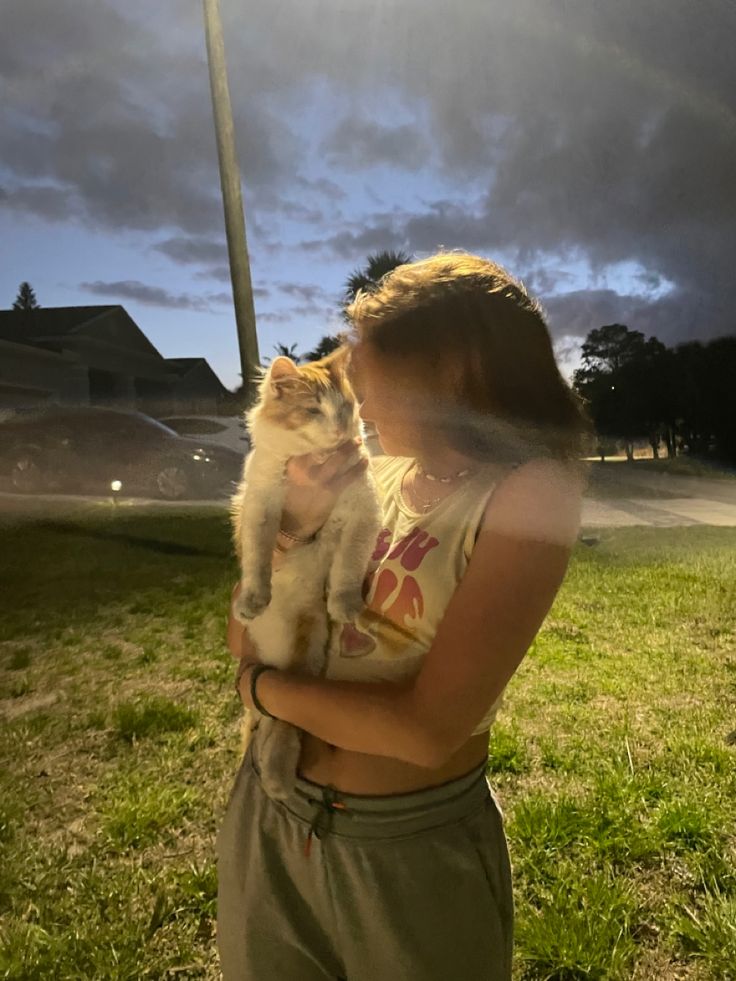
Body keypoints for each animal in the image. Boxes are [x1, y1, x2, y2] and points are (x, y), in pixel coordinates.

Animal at [229, 348, 380, 800]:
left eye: (344, 407)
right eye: (314, 410)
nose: (339, 426)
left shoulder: (362, 516)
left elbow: (348, 567)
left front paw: (345, 606)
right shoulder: (259, 506)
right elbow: (259, 558)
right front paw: (253, 599)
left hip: (304, 658)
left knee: (281, 726)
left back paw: (277, 779)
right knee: (268, 724)